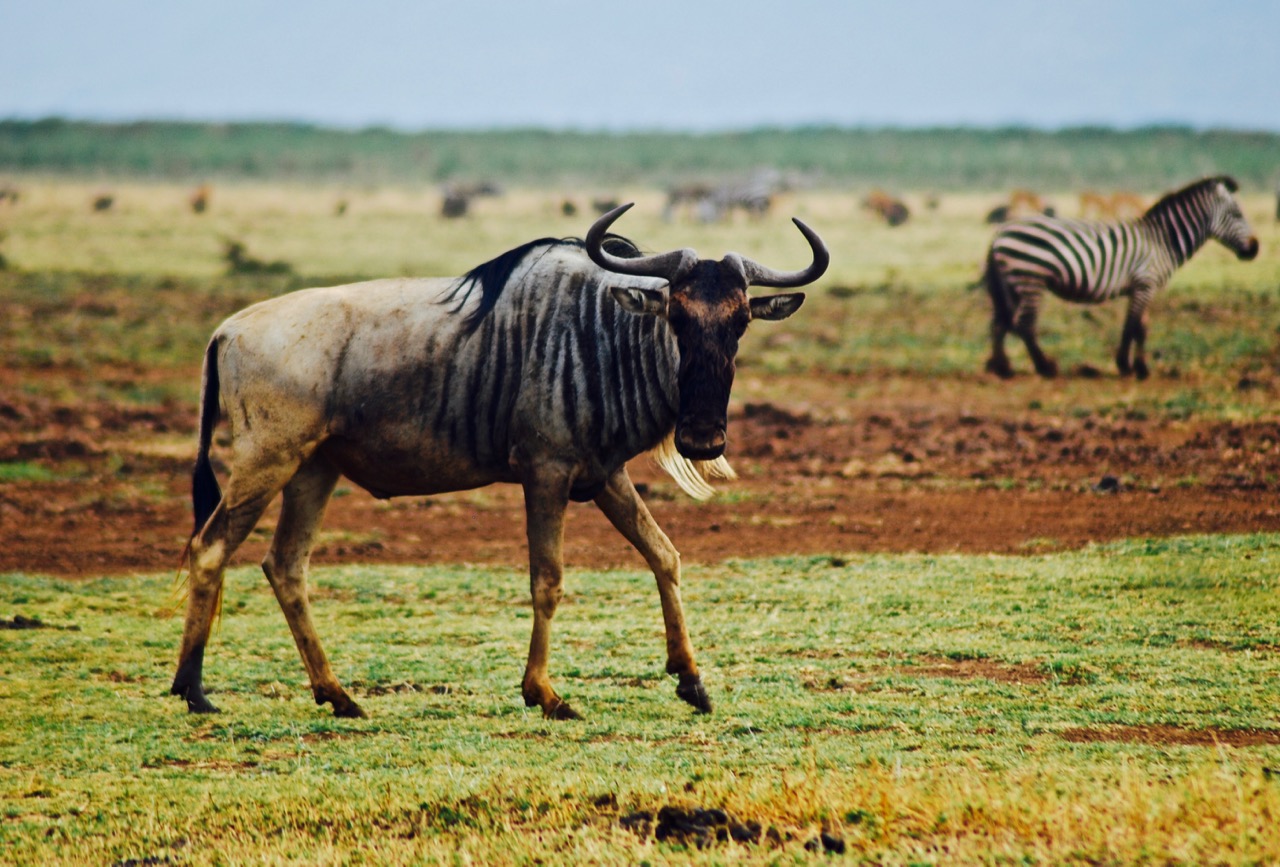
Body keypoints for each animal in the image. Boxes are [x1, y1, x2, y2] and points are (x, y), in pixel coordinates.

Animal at [170, 206, 829, 722]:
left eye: (740, 321)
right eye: (678, 316)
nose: (702, 439)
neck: (601, 335)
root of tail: (226, 329)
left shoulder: (604, 474)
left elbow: (665, 556)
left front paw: (691, 679)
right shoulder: (547, 473)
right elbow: (548, 580)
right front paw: (545, 694)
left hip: (313, 470)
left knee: (285, 567)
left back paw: (338, 695)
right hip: (267, 462)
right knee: (211, 548)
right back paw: (193, 690)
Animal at [983, 176, 1254, 379]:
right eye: (1237, 214)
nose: (1255, 249)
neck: (1162, 240)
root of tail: (999, 233)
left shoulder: (1143, 287)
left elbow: (1140, 327)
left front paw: (1139, 367)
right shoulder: (1145, 283)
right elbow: (1133, 326)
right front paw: (1128, 366)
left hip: (1012, 284)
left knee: (1000, 322)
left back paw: (1002, 367)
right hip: (1031, 279)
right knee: (1024, 323)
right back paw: (1045, 367)